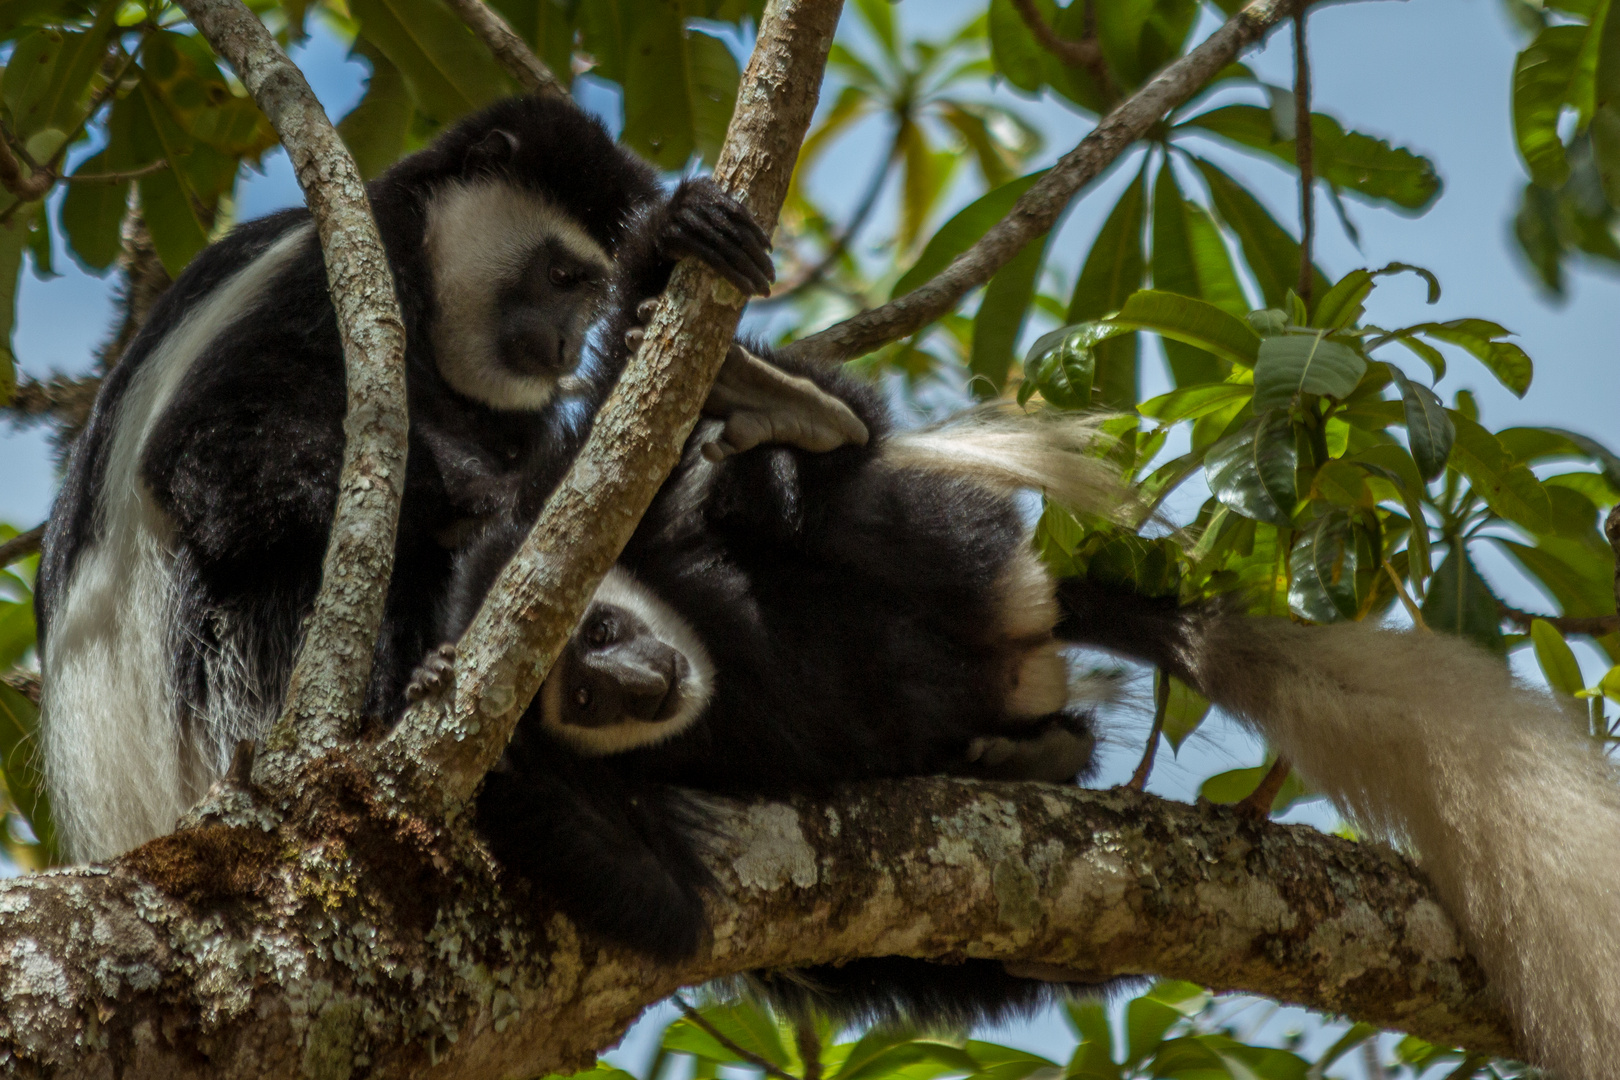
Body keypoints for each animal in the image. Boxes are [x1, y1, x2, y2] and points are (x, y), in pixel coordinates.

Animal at [34, 97, 874, 867]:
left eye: (589, 294)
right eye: (562, 275)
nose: (567, 347)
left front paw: (680, 246)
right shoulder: (337, 279)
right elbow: (213, 457)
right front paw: (497, 502)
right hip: (235, 674)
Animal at [440, 340, 1620, 1080]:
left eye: (593, 636)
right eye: (583, 697)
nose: (637, 684)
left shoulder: (603, 527)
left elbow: (636, 463)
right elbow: (666, 908)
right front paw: (496, 772)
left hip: (972, 559)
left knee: (813, 503)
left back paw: (797, 427)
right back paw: (1026, 765)